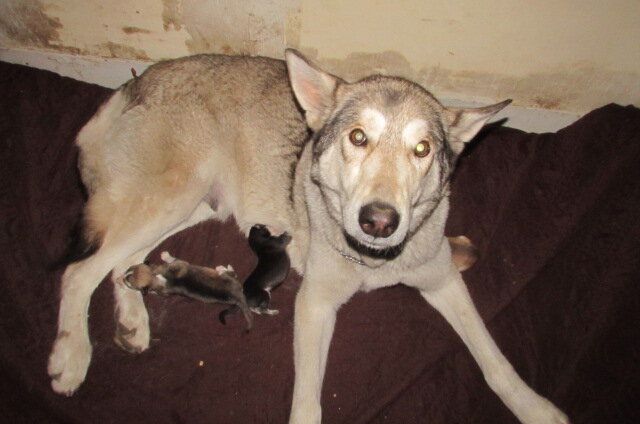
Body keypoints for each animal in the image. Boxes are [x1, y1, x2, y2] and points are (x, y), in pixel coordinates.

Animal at [48, 49, 568, 424]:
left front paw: (537, 410)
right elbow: (307, 401)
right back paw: (71, 355)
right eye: (358, 138)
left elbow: (496, 362)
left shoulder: (442, 280)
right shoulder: (315, 304)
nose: (379, 221)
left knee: (120, 263)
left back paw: (134, 321)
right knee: (80, 271)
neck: (373, 262)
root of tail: (136, 80)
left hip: (196, 204)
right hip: (173, 198)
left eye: (422, 149)